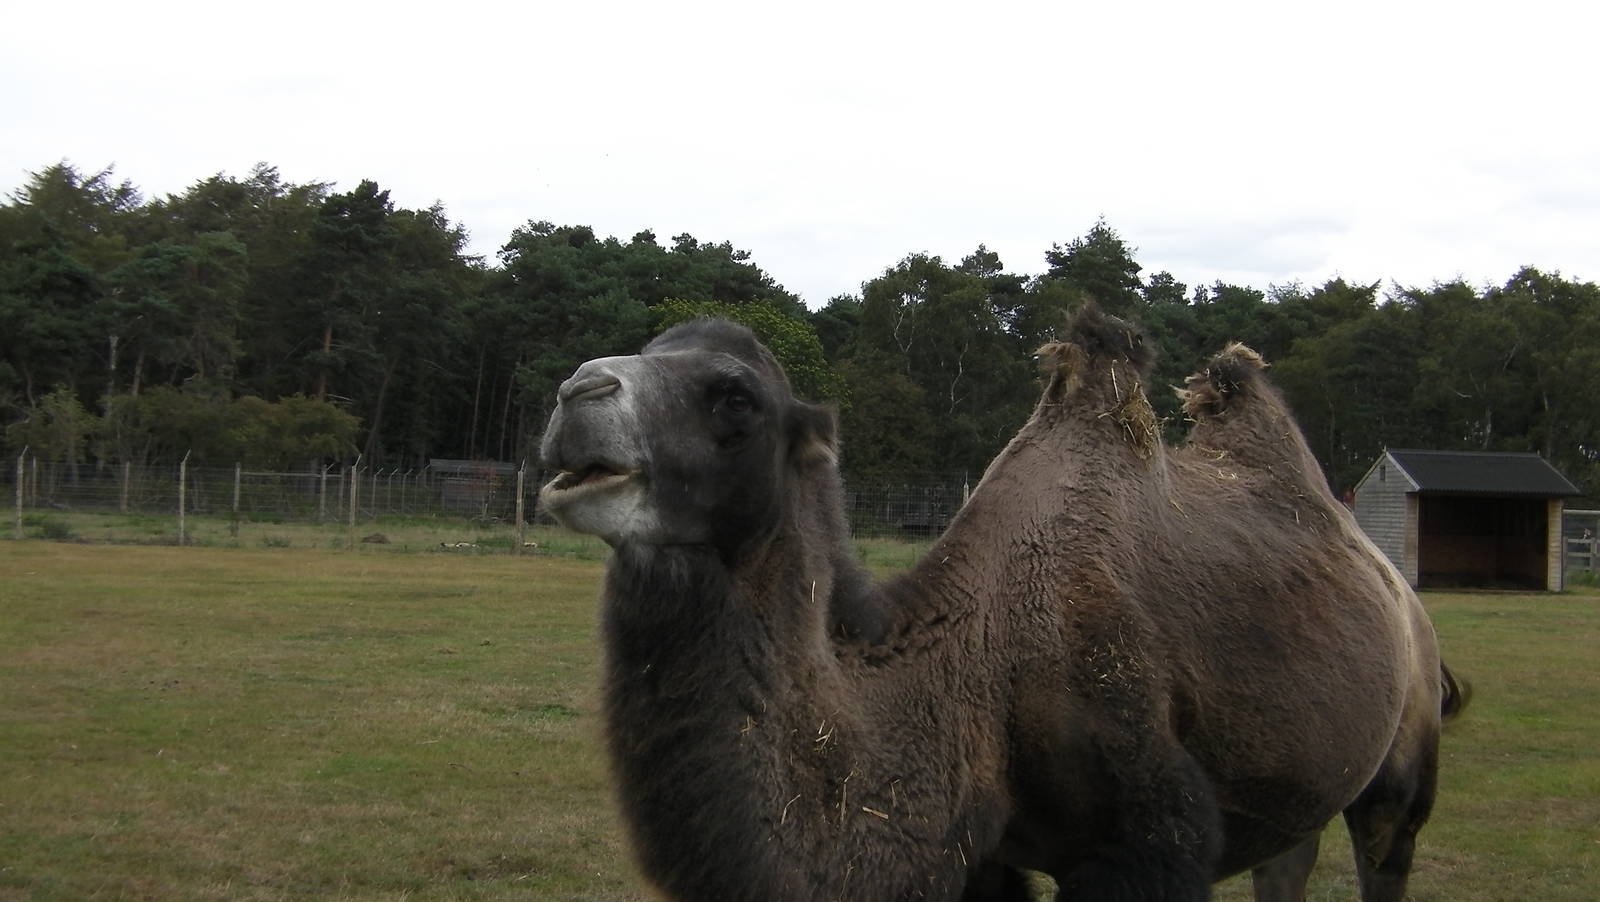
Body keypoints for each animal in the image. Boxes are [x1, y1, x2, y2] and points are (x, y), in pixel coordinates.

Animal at [536, 308, 1465, 901]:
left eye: (736, 397)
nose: (576, 392)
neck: (975, 660)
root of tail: (1399, 588)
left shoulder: (1149, 840)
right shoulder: (980, 857)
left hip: (1404, 767)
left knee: (1387, 845)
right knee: (1289, 860)